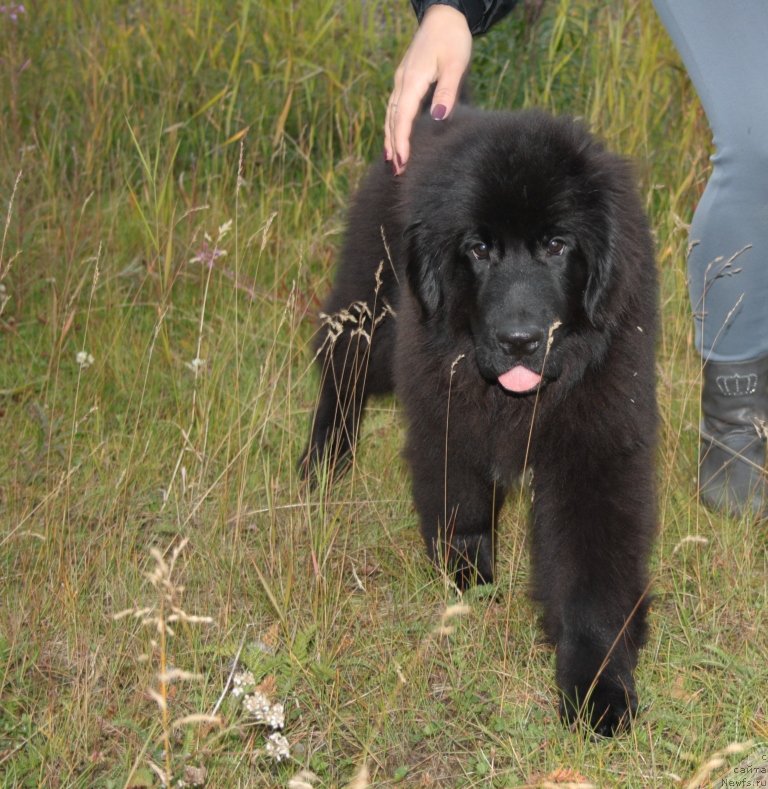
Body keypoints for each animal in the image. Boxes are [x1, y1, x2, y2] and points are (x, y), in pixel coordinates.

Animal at [304, 107, 656, 736]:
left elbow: (593, 578)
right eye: (478, 248)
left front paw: (600, 690)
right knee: (341, 364)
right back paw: (324, 459)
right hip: (375, 306)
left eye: (557, 245)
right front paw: (467, 579)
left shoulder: (598, 448)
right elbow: (460, 503)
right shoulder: (444, 407)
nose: (518, 340)